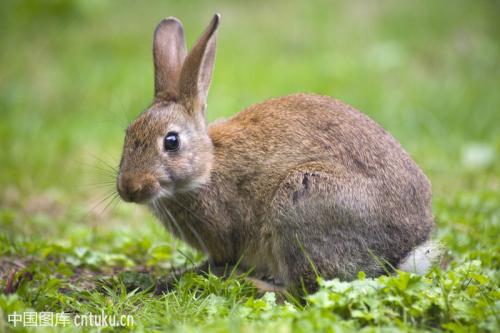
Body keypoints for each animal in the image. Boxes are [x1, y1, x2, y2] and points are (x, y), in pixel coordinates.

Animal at [116, 14, 442, 294]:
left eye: (171, 142)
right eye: (128, 134)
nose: (129, 188)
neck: (208, 166)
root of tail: (404, 249)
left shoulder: (226, 237)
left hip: (301, 202)